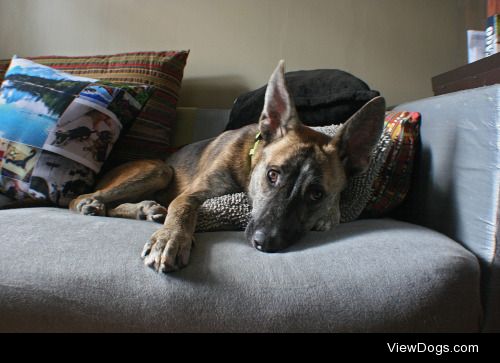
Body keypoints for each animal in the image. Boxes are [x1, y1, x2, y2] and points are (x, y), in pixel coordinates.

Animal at [68, 61, 384, 274]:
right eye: (272, 175)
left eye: (317, 194)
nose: (264, 242)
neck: (249, 163)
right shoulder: (192, 195)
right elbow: (182, 211)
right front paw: (170, 239)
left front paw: (329, 215)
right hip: (160, 170)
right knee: (82, 198)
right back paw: (99, 204)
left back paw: (145, 209)